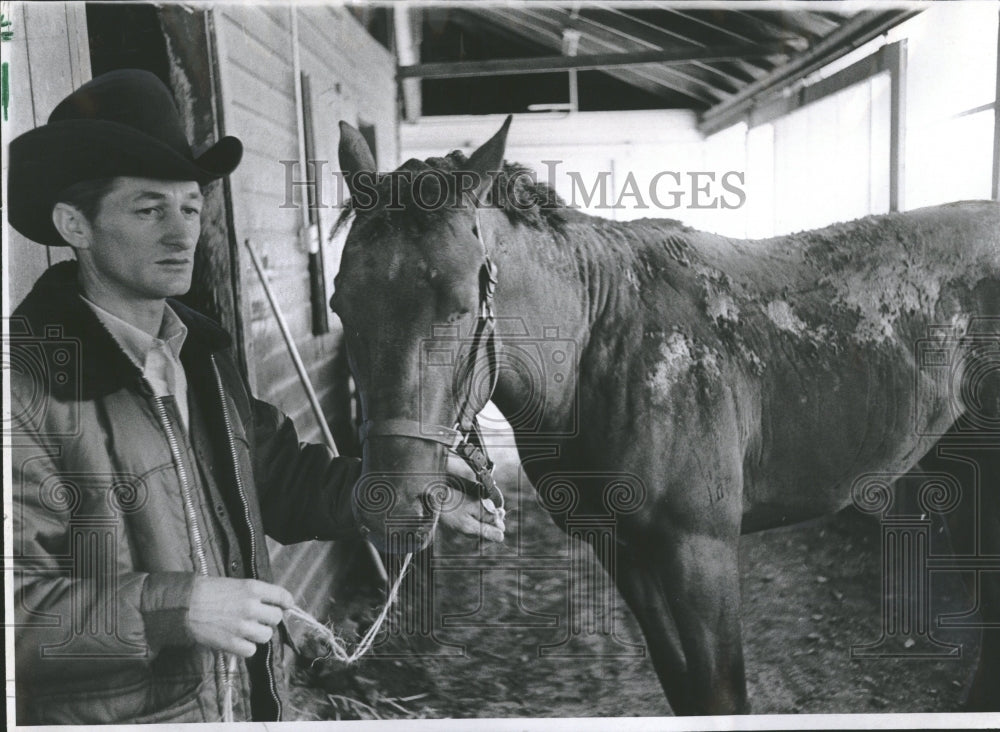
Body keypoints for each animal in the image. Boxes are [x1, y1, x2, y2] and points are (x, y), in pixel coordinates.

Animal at [332, 118, 996, 716]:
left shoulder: (699, 551)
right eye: (341, 303)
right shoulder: (622, 551)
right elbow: (683, 688)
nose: (391, 503)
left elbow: (721, 696)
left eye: (460, 303)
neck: (602, 340)